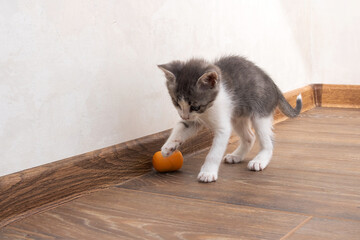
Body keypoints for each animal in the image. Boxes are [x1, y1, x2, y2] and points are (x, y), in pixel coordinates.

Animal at [158, 55, 300, 183]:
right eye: (176, 103)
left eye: (195, 106)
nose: (183, 115)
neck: (208, 110)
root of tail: (273, 84)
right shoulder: (192, 120)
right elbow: (180, 128)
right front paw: (168, 147)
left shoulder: (222, 128)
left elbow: (214, 153)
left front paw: (208, 172)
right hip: (237, 117)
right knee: (250, 137)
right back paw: (236, 156)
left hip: (260, 113)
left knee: (267, 141)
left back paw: (259, 160)